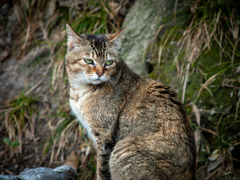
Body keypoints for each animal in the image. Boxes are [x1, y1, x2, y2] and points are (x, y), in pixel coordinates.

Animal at [64, 24, 196, 180]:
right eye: (89, 61)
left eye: (109, 62)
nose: (100, 73)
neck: (81, 91)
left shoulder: (104, 138)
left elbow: (101, 170)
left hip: (123, 150)